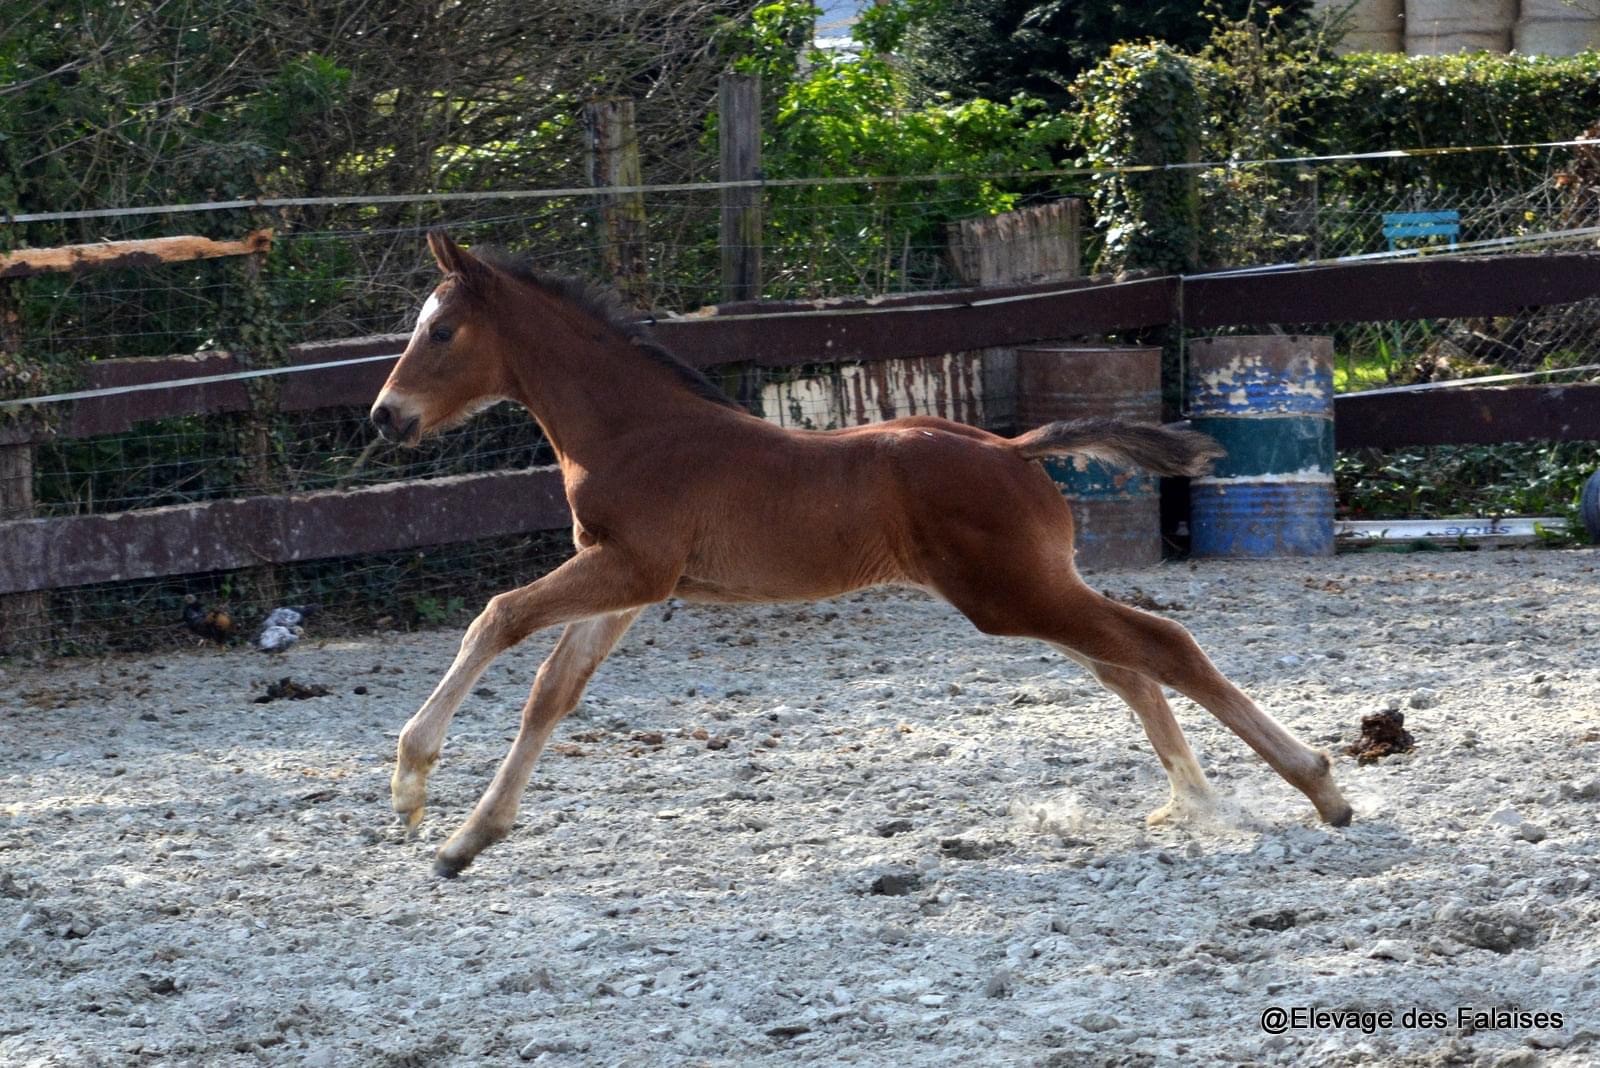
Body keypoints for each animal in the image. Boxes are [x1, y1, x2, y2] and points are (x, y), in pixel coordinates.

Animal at [366, 231, 1350, 876]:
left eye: (441, 332)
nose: (385, 416)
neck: (636, 431)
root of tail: (1012, 448)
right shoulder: (628, 587)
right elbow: (551, 694)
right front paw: (467, 839)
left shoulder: (631, 568)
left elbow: (497, 619)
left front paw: (412, 785)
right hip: (1025, 592)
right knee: (1130, 668)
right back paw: (1200, 802)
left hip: (1014, 595)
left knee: (1162, 646)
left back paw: (1319, 787)